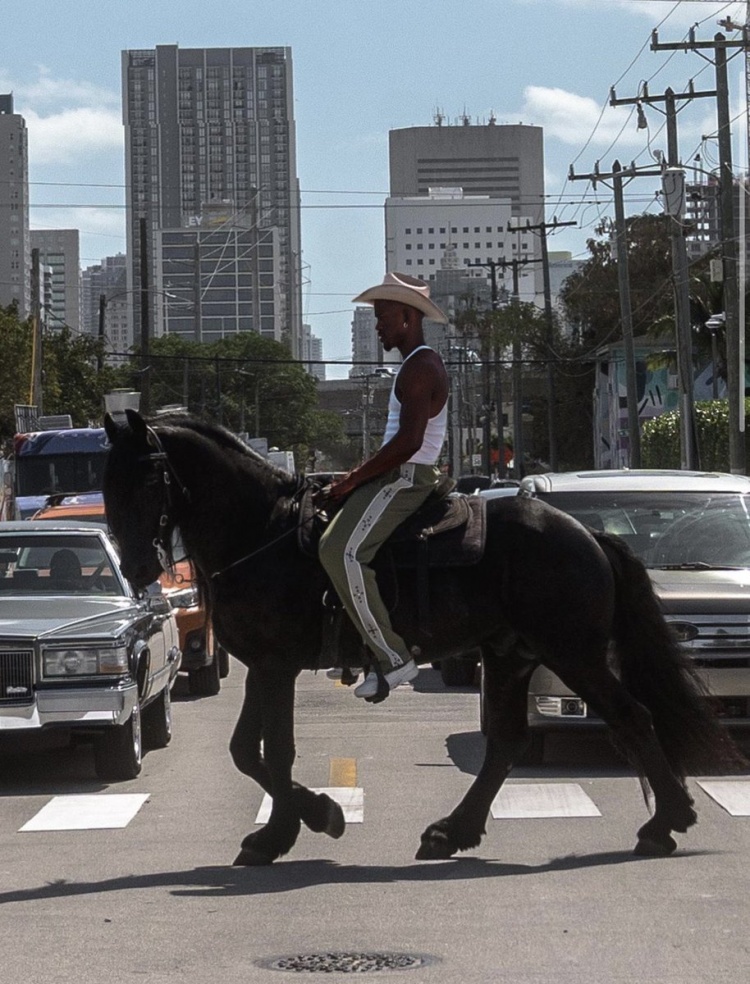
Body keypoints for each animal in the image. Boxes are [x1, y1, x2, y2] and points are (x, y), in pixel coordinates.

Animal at [103, 412, 744, 864]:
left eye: (148, 480)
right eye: (106, 484)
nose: (136, 568)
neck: (263, 532)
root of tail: (589, 535)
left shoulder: (275, 664)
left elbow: (272, 752)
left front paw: (297, 826)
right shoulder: (264, 665)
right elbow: (246, 750)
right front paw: (304, 821)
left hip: (573, 655)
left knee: (632, 718)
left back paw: (665, 823)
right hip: (509, 656)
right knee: (506, 744)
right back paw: (452, 832)